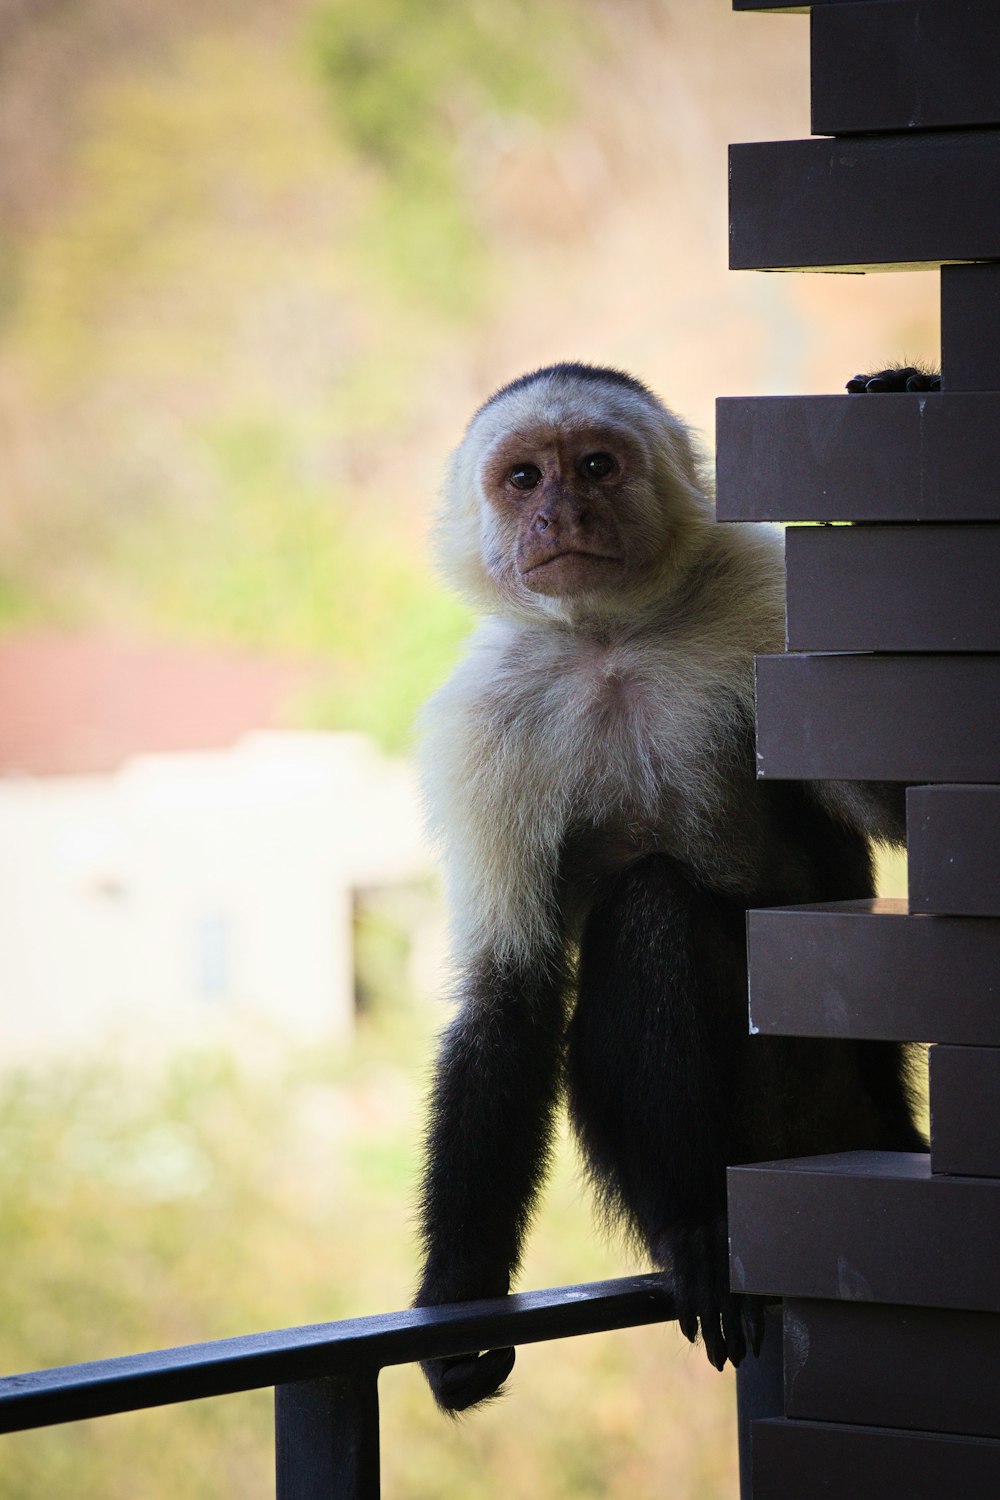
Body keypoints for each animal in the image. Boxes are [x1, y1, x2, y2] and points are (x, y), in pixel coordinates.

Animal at [413, 363, 923, 1416]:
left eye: (595, 466)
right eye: (522, 478)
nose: (559, 512)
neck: (610, 638)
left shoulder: (760, 600)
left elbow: (893, 805)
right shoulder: (479, 728)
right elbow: (510, 994)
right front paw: (457, 1300)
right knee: (651, 907)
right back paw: (692, 1223)